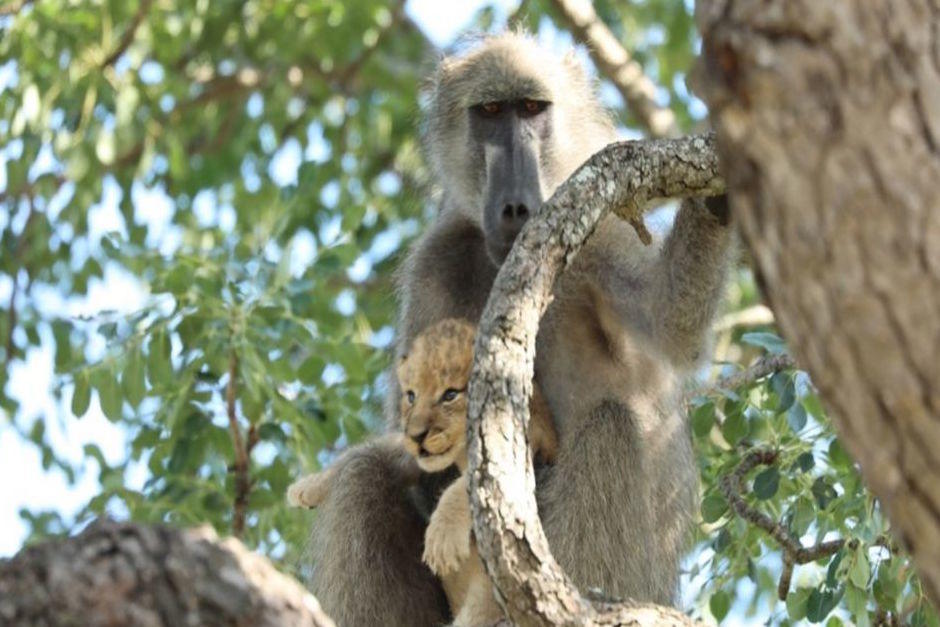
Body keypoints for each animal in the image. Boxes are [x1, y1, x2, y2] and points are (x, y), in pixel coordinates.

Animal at [288, 318, 556, 626]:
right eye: (411, 396)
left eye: (450, 394)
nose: (417, 436)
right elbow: (391, 445)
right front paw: (306, 488)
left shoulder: (526, 446)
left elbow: (469, 484)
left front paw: (441, 538)